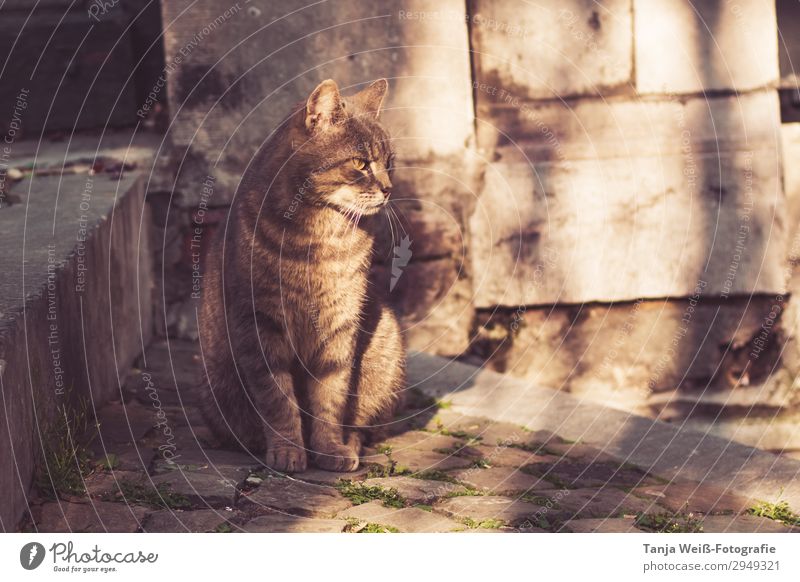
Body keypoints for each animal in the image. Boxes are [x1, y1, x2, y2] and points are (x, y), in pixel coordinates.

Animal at [197, 78, 404, 474]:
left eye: (389, 163)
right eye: (360, 163)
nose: (389, 189)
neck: (322, 235)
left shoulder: (342, 324)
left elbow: (330, 394)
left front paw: (328, 449)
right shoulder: (259, 323)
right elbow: (277, 399)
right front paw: (288, 451)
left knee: (363, 426)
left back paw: (350, 444)